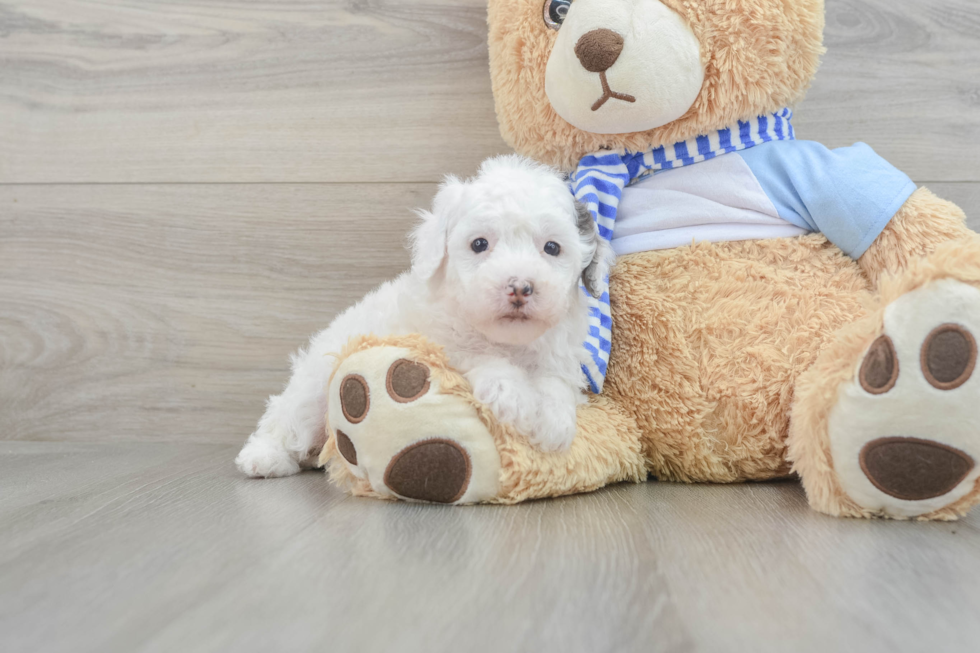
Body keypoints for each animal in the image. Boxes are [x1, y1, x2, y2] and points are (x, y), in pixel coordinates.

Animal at [235, 155, 612, 476]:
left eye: (552, 248)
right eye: (479, 244)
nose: (519, 287)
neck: (508, 342)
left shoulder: (558, 353)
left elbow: (555, 381)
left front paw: (553, 422)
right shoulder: (437, 339)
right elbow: (478, 355)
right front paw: (513, 397)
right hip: (312, 389)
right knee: (285, 419)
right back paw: (264, 458)